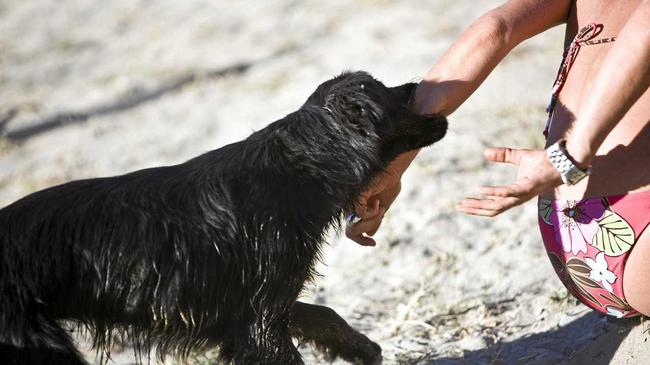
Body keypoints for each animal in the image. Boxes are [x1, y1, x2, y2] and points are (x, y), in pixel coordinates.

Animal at [0, 69, 446, 362]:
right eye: (387, 93)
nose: (421, 84)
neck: (297, 170)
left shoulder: (248, 309)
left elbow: (321, 313)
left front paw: (359, 347)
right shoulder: (259, 321)